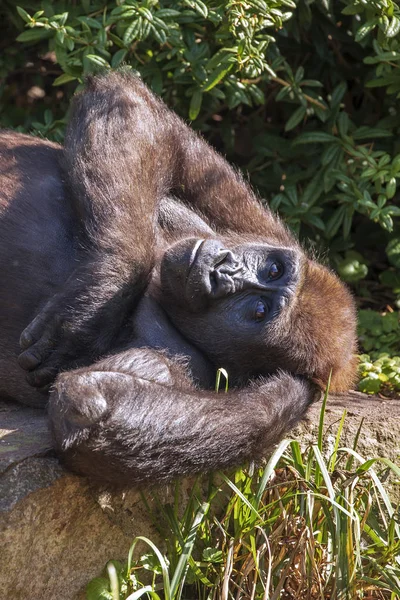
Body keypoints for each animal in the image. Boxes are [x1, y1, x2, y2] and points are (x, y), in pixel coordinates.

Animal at [0, 70, 356, 486]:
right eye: (273, 270)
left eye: (257, 310)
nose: (222, 271)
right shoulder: (266, 232)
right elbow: (142, 116)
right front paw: (108, 281)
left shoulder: (191, 367)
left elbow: (85, 404)